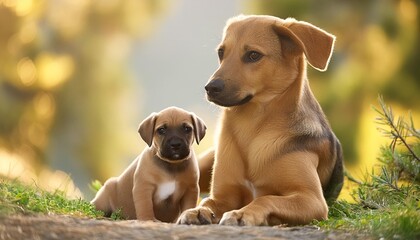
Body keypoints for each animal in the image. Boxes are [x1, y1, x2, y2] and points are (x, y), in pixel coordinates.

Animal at [177, 15, 344, 227]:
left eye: (253, 55)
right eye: (221, 53)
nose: (210, 87)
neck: (251, 127)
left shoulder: (312, 198)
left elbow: (266, 198)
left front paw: (242, 213)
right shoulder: (223, 195)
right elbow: (207, 201)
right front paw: (198, 210)